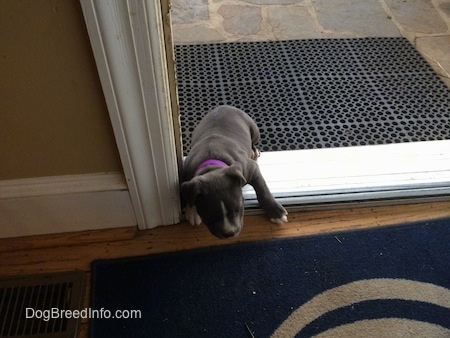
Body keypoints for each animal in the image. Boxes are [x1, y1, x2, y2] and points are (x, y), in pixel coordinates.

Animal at [182, 105, 288, 238]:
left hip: (254, 130)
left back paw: (254, 151)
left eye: (238, 208)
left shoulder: (251, 169)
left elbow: (262, 190)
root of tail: (224, 106)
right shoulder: (187, 173)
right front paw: (192, 211)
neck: (212, 165)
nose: (229, 233)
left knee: (253, 142)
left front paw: (276, 212)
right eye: (209, 216)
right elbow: (189, 191)